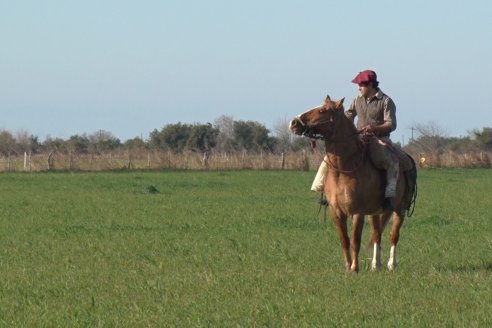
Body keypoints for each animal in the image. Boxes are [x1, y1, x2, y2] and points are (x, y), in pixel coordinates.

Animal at [290, 96, 418, 272]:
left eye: (322, 110)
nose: (294, 123)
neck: (344, 169)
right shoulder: (336, 212)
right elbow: (344, 240)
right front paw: (347, 267)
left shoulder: (358, 212)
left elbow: (355, 241)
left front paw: (354, 268)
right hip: (375, 213)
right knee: (377, 234)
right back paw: (375, 265)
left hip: (400, 209)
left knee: (393, 235)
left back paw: (391, 264)